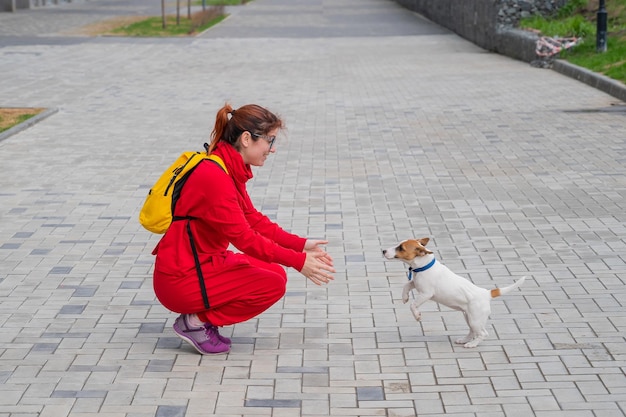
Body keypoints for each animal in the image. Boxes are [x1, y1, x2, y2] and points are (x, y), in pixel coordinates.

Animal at [380, 237, 520, 348]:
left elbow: (413, 305)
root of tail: (486, 293)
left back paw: (472, 344)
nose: (383, 251)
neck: (423, 266)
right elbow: (406, 285)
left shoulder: (426, 294)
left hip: (475, 319)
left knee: (483, 333)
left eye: (401, 248)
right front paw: (404, 297)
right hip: (469, 317)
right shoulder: (416, 284)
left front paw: (417, 315)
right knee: (472, 331)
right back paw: (464, 340)